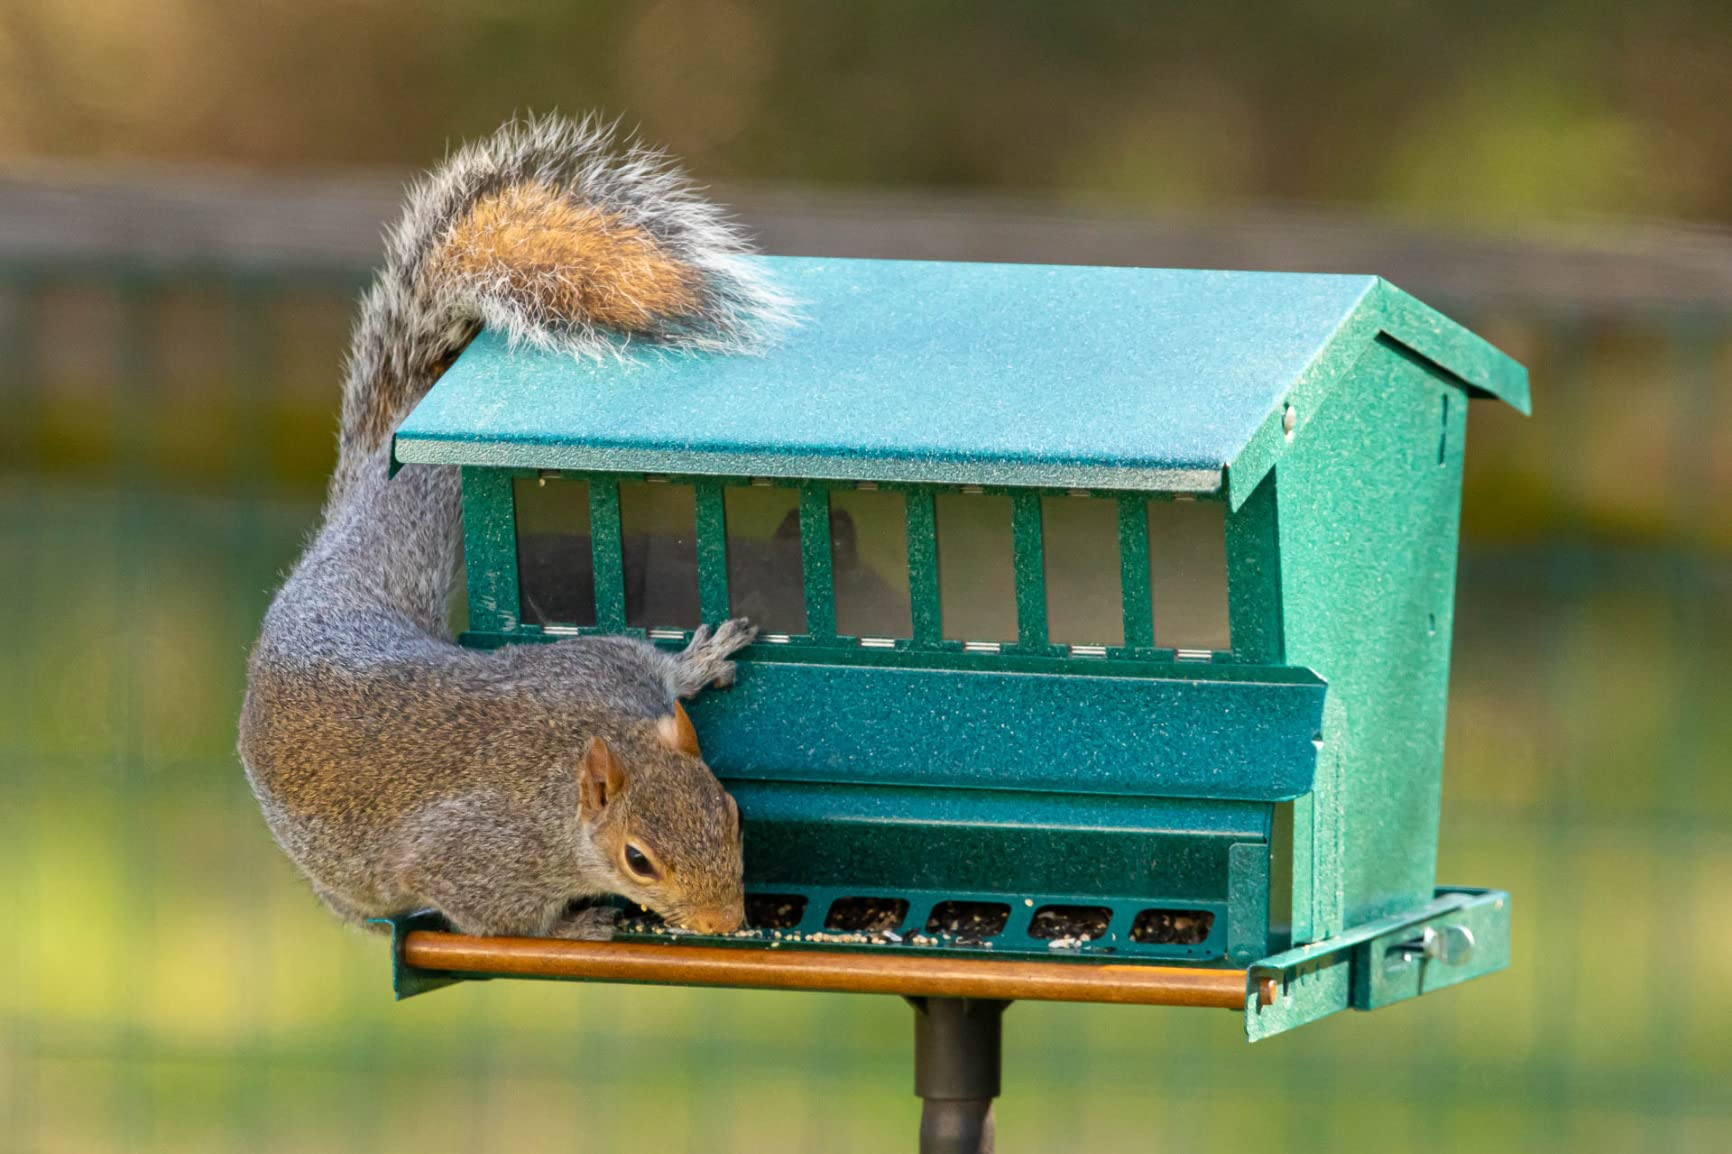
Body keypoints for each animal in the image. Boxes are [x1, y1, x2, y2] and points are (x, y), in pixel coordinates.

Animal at [238, 114, 791, 941]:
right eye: (638, 861)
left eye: (732, 813)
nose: (727, 924)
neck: (575, 752)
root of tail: (334, 566)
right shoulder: (478, 858)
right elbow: (502, 921)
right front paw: (579, 927)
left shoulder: (599, 667)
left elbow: (647, 662)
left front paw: (699, 660)